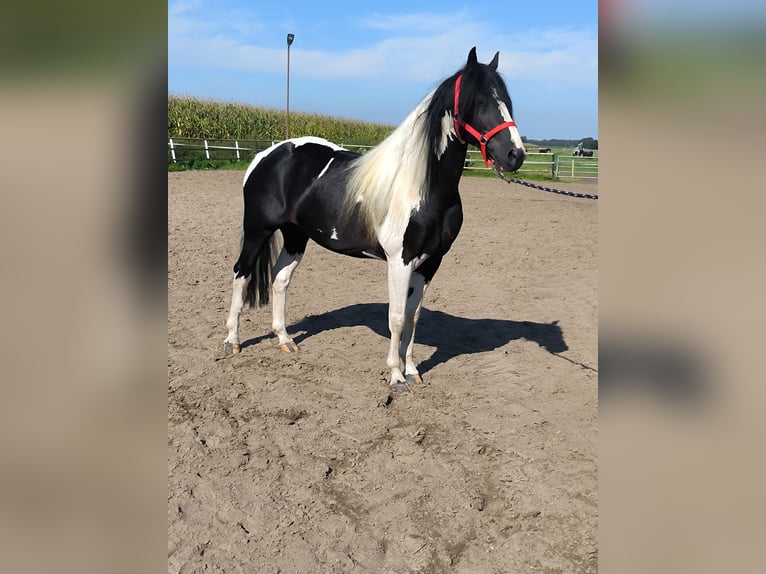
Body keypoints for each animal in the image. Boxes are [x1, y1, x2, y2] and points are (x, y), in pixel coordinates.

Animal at [223, 47, 526, 392]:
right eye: (479, 102)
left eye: (507, 101)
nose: (515, 155)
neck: (421, 186)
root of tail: (267, 155)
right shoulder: (400, 261)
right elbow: (396, 317)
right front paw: (395, 376)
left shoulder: (431, 263)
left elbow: (413, 317)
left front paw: (412, 370)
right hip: (257, 231)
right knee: (241, 275)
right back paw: (232, 341)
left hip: (296, 236)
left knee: (280, 280)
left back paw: (285, 339)